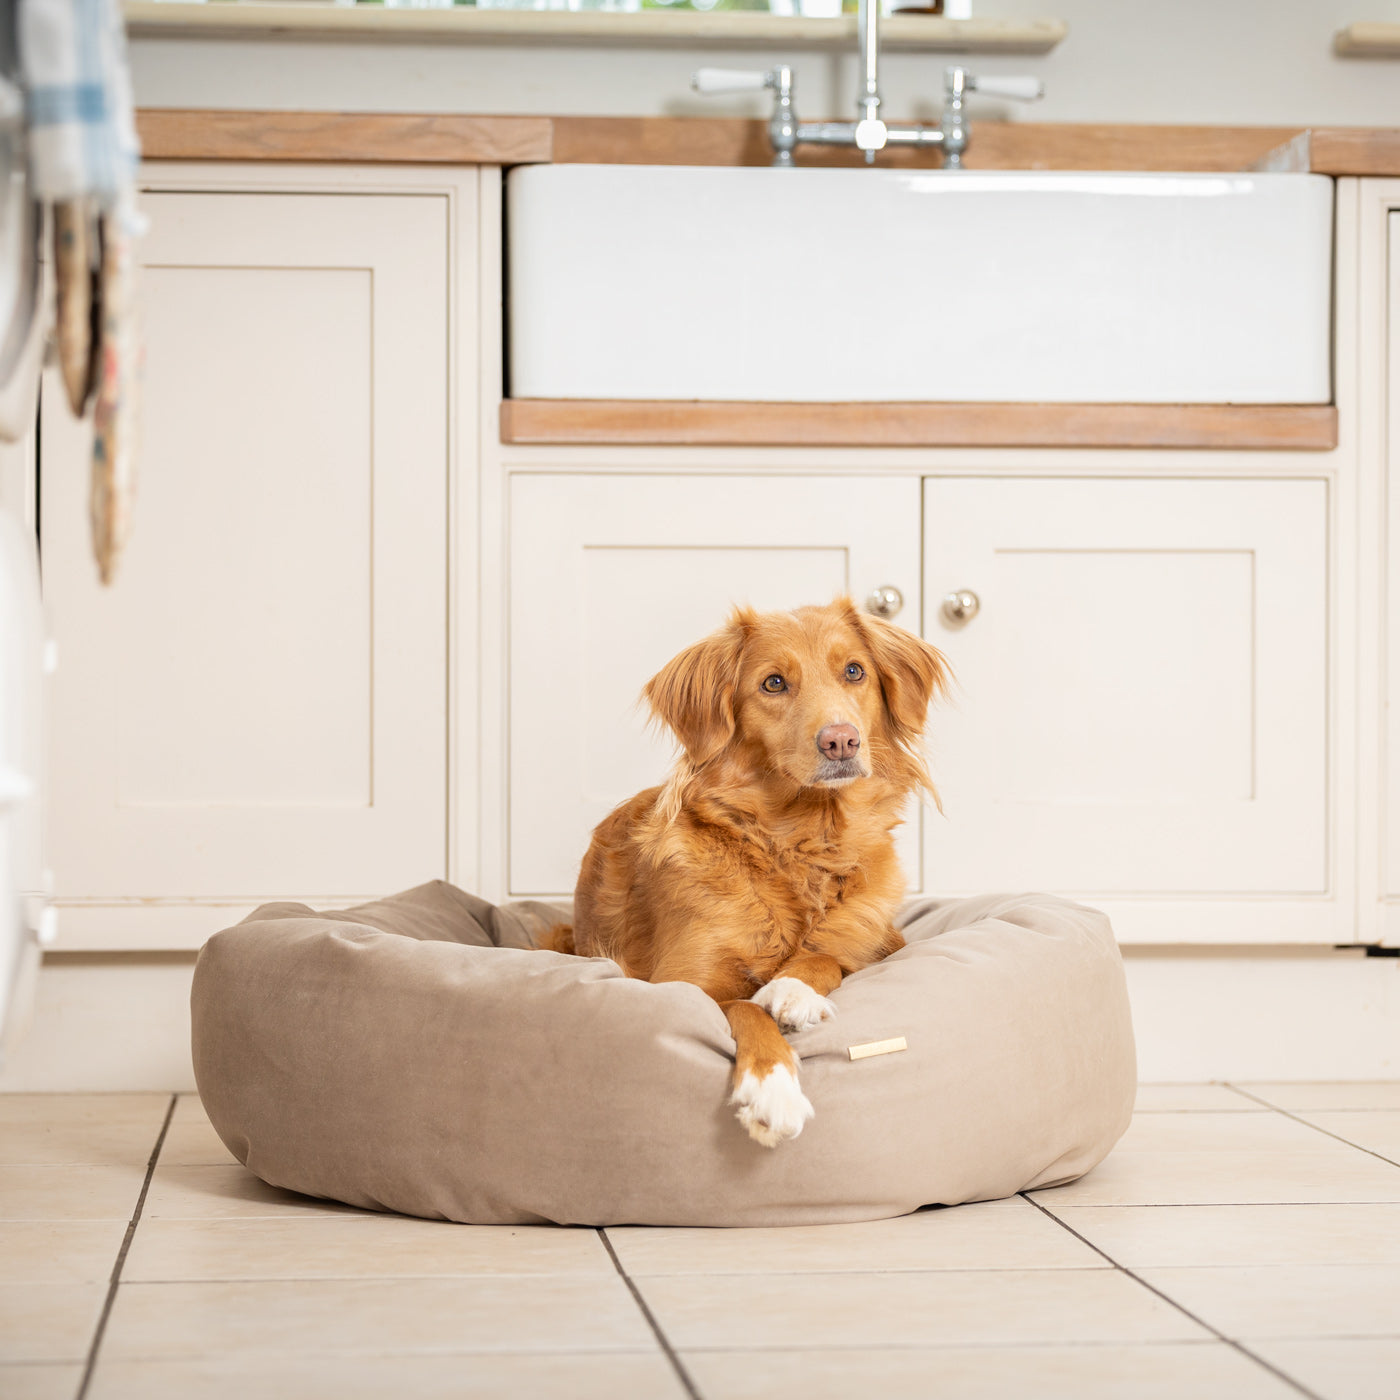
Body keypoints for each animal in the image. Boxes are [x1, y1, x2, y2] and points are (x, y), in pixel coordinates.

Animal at [546, 596, 952, 1142]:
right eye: (773, 683)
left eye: (854, 671)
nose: (841, 741)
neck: (802, 842)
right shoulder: (677, 983)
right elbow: (741, 1006)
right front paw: (773, 1090)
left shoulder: (880, 943)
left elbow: (826, 956)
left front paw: (792, 988)